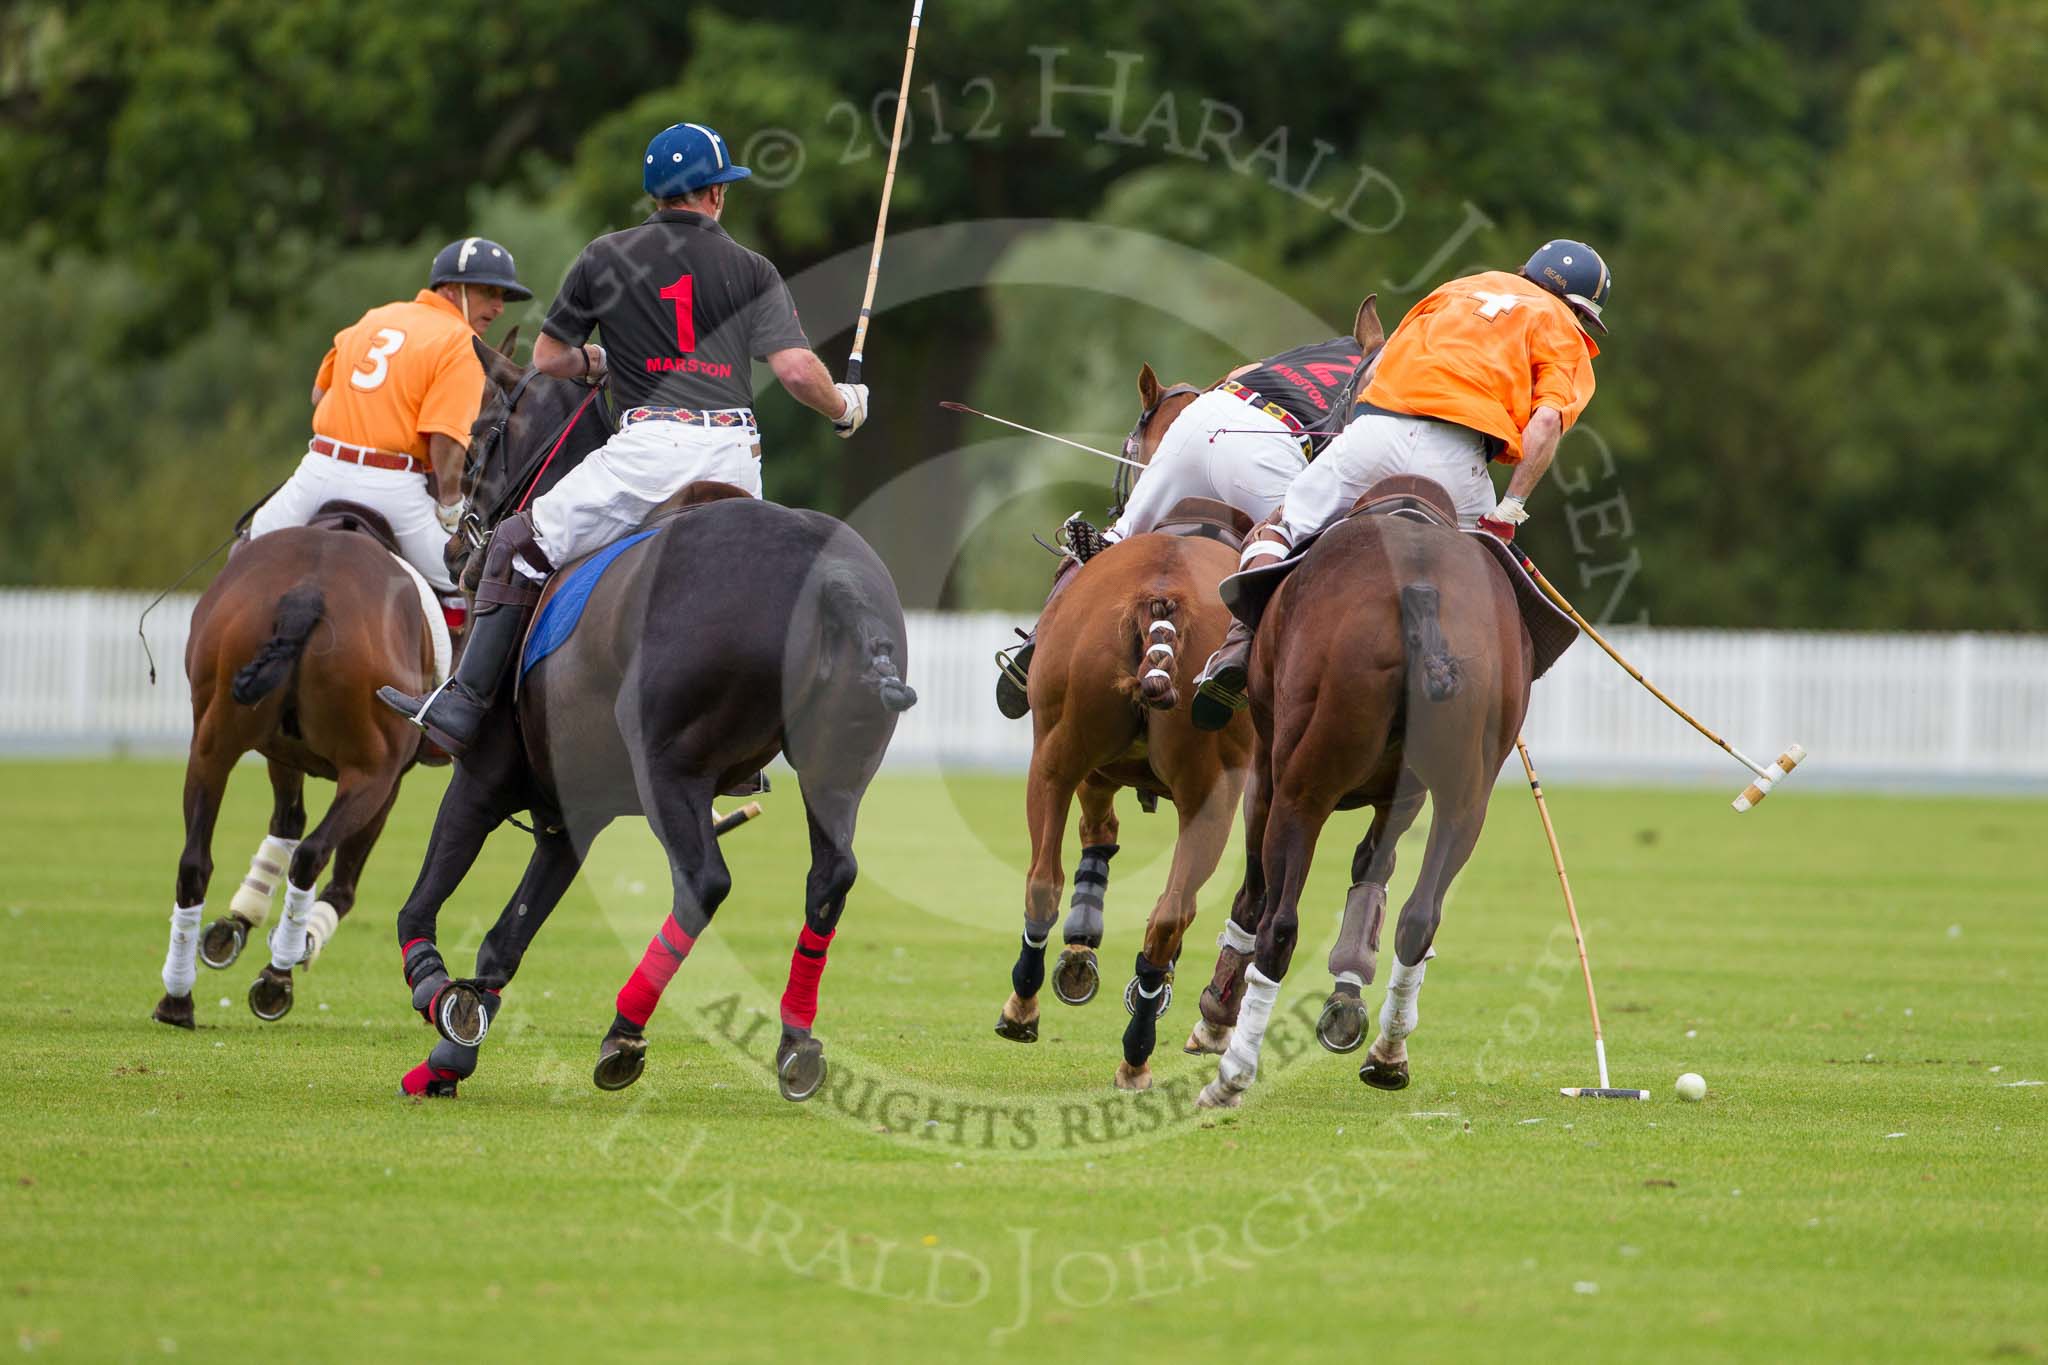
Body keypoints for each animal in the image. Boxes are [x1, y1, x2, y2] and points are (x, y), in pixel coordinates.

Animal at [155, 517, 448, 1031]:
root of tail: (308, 592)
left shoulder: (281, 753)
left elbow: (286, 822)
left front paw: (234, 926)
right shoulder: (391, 779)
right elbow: (338, 879)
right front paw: (289, 938)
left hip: (212, 743)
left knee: (194, 861)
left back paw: (177, 997)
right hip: (371, 770)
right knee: (313, 856)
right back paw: (277, 976)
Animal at [389, 347, 913, 1105]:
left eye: (484, 430)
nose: (459, 552)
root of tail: (828, 579)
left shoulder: (482, 781)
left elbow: (421, 905)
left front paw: (436, 992)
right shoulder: (568, 819)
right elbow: (505, 940)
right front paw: (446, 1058)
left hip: (671, 767)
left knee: (704, 882)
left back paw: (624, 1033)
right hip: (838, 768)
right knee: (832, 877)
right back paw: (795, 1042)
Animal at [987, 366, 1245, 1088]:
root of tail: (1163, 595)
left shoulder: (1093, 766)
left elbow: (1095, 835)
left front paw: (1079, 952)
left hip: (1056, 756)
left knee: (1044, 881)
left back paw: (1030, 1009)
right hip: (1209, 793)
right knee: (1168, 915)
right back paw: (1136, 1045)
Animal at [1187, 482, 1540, 1113]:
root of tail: (1420, 596)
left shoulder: (1268, 773)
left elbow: (1253, 892)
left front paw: (1216, 1013)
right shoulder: (1403, 797)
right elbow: (1373, 870)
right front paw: (1347, 999)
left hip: (1304, 786)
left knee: (1280, 924)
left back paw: (1232, 1077)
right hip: (1465, 799)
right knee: (1420, 918)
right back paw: (1388, 1055)